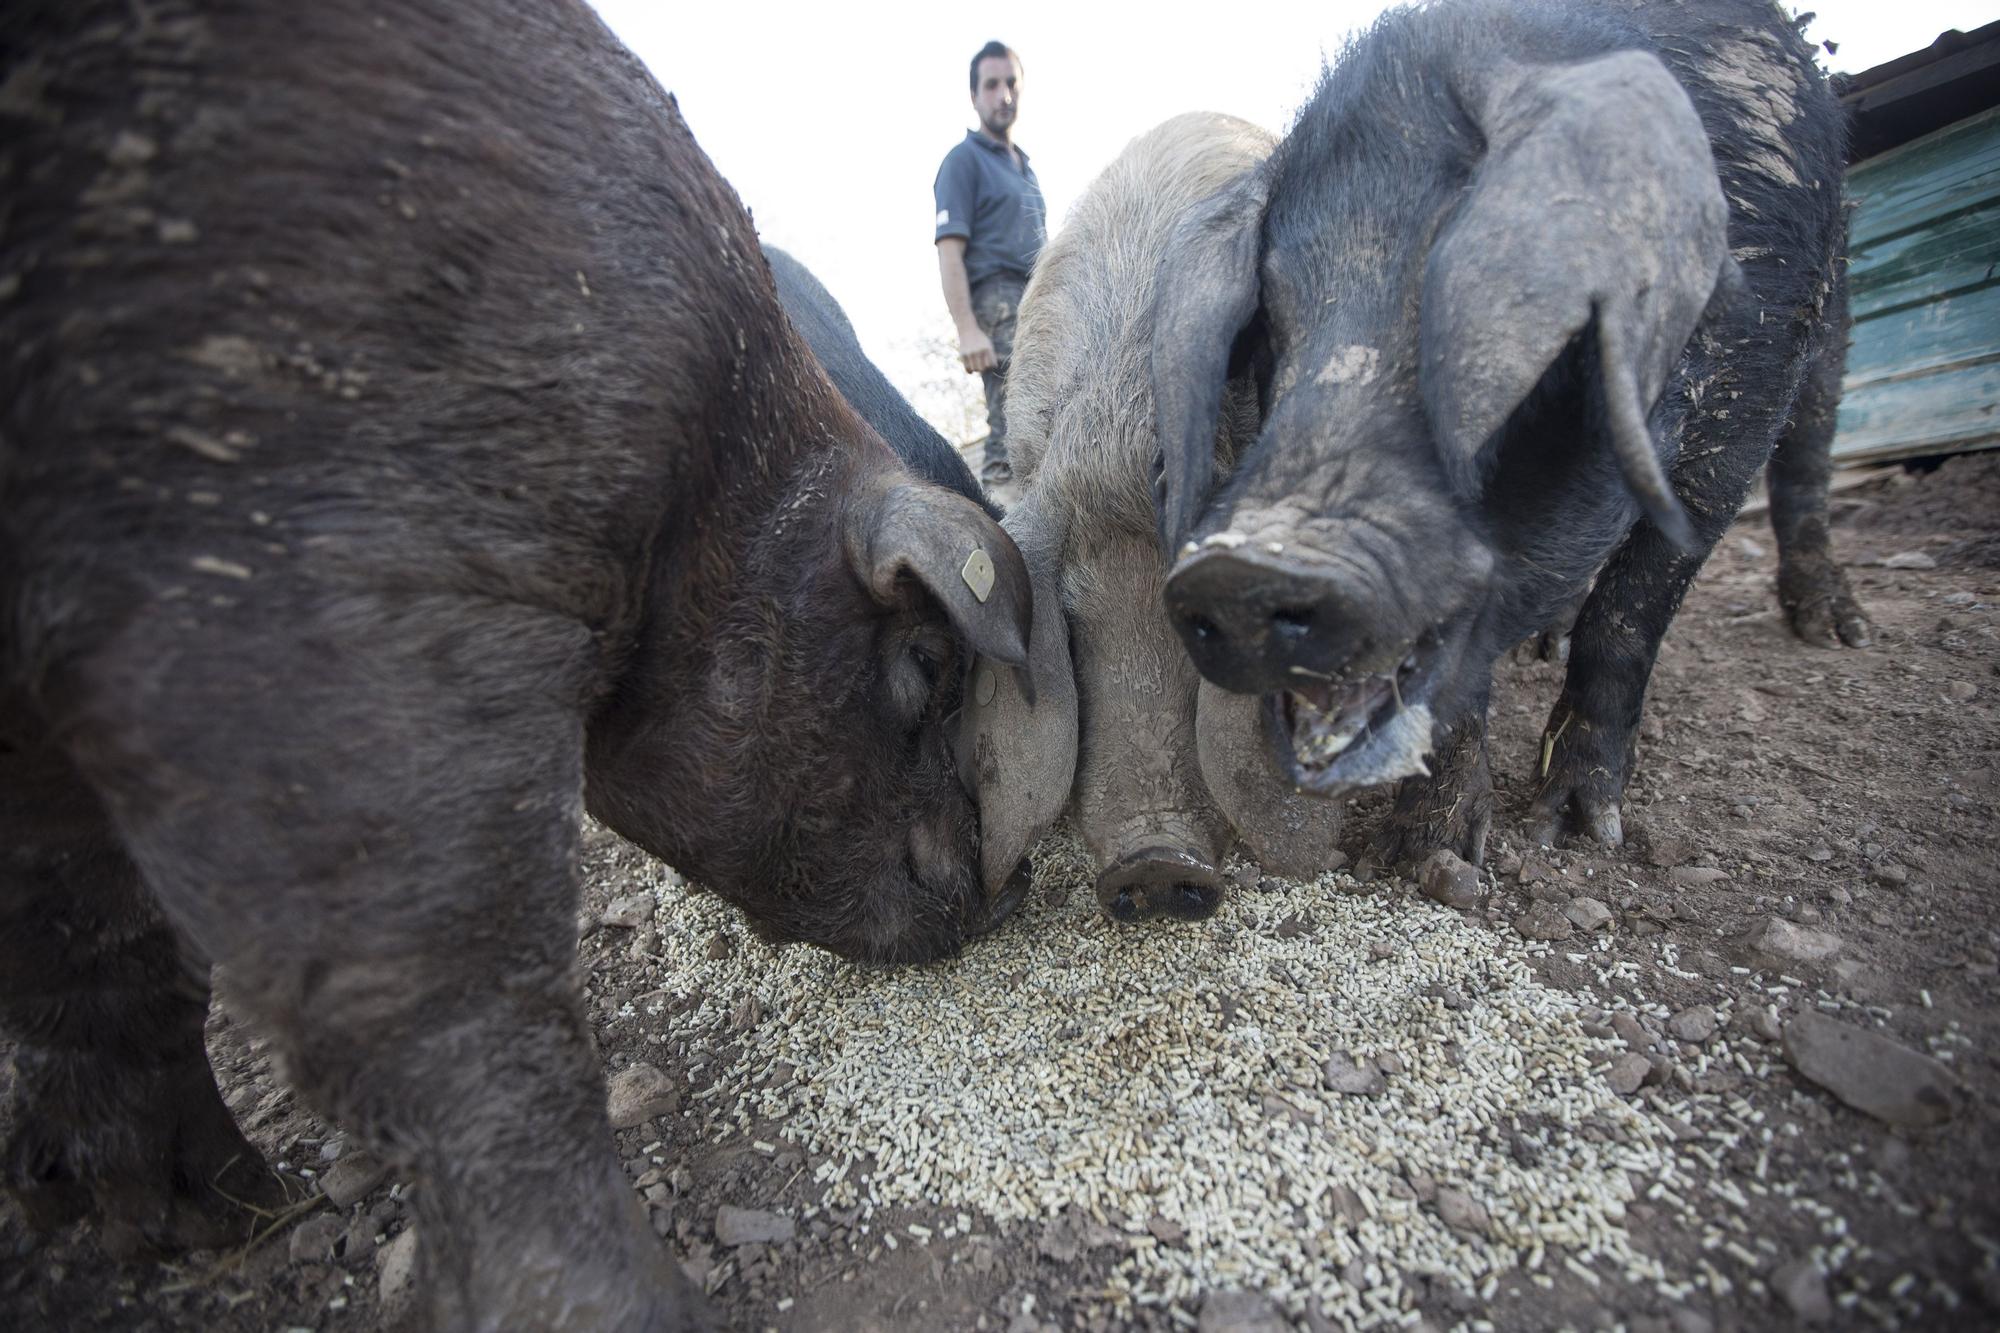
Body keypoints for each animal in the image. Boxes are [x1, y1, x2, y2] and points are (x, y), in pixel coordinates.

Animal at [0, 0, 1032, 1320]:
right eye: (923, 662)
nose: (1012, 878)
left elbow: (89, 929)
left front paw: (202, 1218)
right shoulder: (314, 585)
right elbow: (450, 972)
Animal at [1152, 0, 1864, 860]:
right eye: (1273, 326)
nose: (1239, 569)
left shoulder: (1743, 394)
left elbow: (1633, 607)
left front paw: (1579, 830)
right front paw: (1423, 854)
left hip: (1829, 320)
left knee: (1809, 462)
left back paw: (1836, 630)